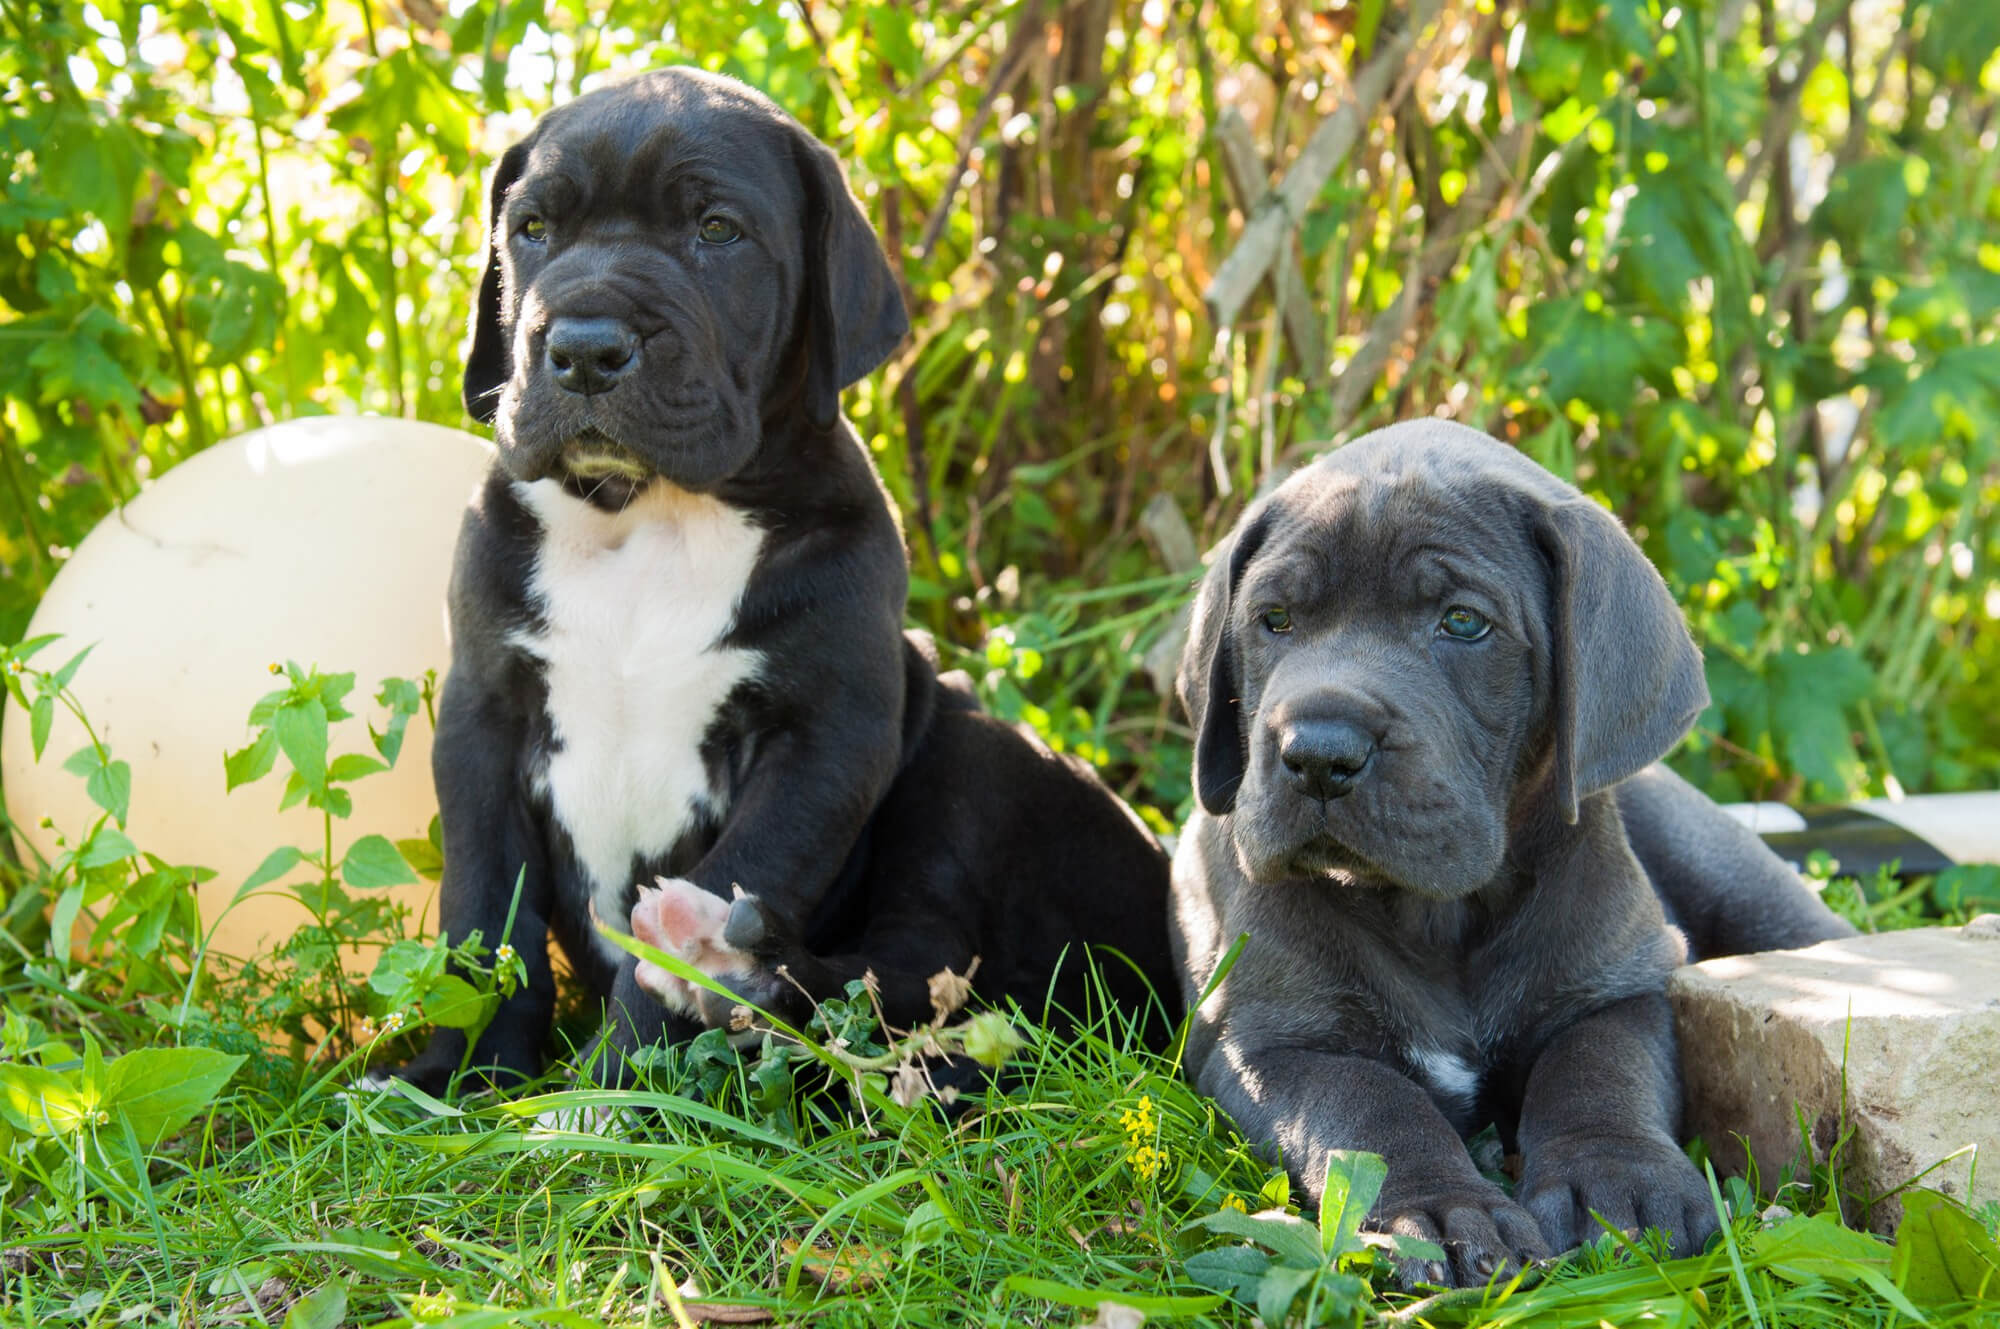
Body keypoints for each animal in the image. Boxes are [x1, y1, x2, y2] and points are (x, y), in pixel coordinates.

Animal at [394, 67, 1168, 1096]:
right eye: (532, 229)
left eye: (717, 230)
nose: (586, 345)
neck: (647, 517)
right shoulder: (483, 717)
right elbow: (485, 918)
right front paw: (459, 1076)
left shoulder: (823, 738)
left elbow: (741, 869)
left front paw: (610, 1089)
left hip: (975, 750)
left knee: (920, 968)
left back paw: (721, 965)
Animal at [1168, 418, 1856, 1288]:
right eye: (1276, 619)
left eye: (1464, 623)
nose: (1318, 752)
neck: (1440, 914)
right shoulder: (1268, 1040)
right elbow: (1367, 1103)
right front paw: (1440, 1210)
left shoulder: (1619, 987)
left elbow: (1597, 1072)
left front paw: (1618, 1182)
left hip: (1751, 891)